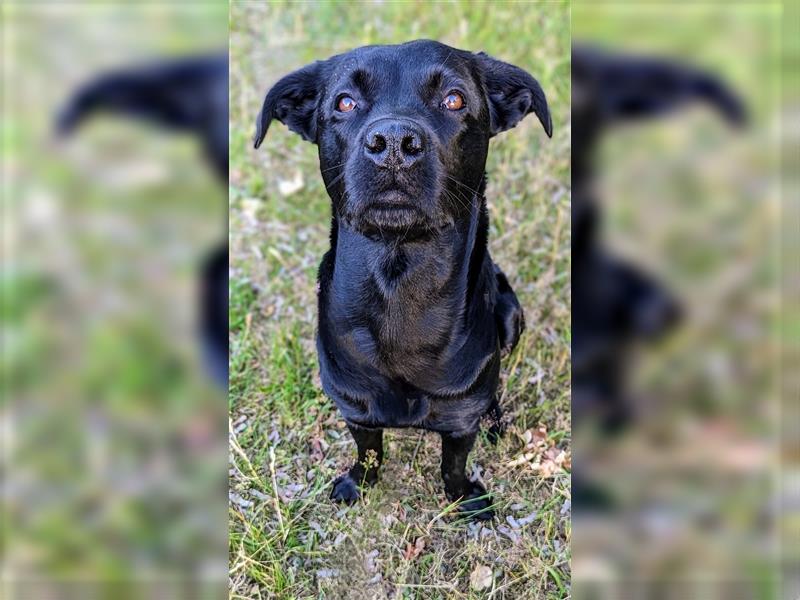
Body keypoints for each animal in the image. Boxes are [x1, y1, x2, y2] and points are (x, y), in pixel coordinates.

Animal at [256, 39, 552, 516]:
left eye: (454, 99)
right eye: (344, 102)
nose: (393, 142)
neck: (400, 284)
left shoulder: (458, 420)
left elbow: (453, 462)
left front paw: (463, 496)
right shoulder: (355, 408)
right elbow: (369, 450)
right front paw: (359, 483)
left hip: (511, 316)